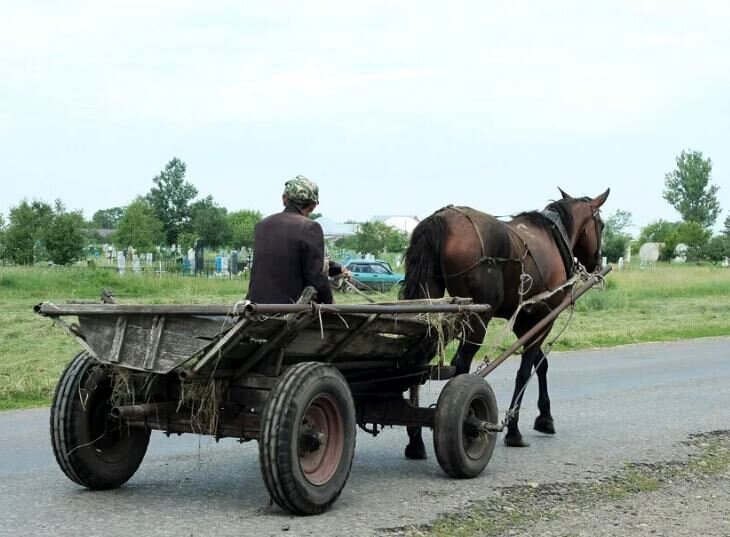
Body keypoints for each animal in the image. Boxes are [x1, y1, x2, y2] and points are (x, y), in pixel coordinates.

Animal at [400, 186, 604, 454]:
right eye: (601, 224)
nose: (598, 262)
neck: (552, 238)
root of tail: (441, 219)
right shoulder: (543, 318)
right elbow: (526, 370)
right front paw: (514, 430)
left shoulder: (523, 320)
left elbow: (541, 365)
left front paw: (545, 417)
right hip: (477, 318)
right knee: (460, 365)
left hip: (430, 305)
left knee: (418, 360)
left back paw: (415, 440)